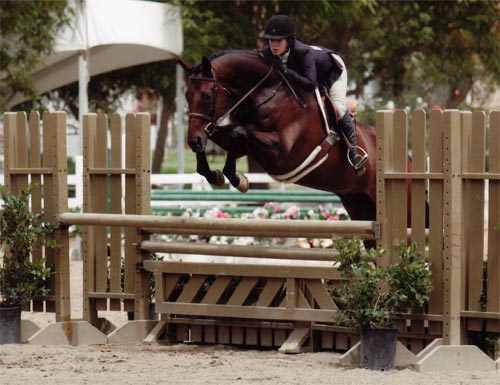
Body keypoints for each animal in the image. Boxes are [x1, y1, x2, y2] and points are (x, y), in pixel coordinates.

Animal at [180, 50, 378, 222]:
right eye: (187, 95)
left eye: (206, 95)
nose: (193, 141)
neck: (268, 94)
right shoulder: (246, 147)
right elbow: (224, 138)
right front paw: (215, 175)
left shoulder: (281, 154)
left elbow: (238, 133)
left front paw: (238, 180)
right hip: (358, 202)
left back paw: (356, 158)